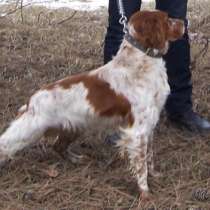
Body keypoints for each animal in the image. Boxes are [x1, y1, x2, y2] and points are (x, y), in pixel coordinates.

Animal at [0, 11, 184, 199]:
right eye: (167, 20)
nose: (184, 22)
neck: (140, 62)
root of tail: (31, 101)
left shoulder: (149, 125)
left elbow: (149, 157)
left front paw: (155, 175)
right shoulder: (137, 132)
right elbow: (141, 166)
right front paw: (145, 193)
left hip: (74, 127)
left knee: (58, 146)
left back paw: (77, 159)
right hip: (29, 130)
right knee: (5, 144)